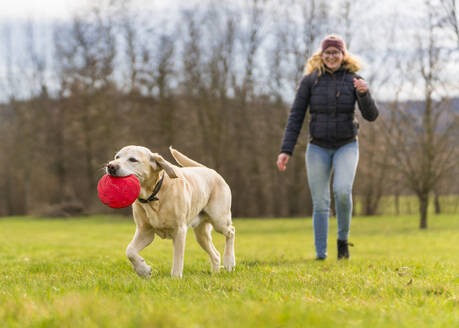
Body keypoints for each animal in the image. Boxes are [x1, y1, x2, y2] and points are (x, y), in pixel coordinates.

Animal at [106, 145, 235, 276]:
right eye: (117, 157)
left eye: (132, 159)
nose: (110, 166)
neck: (153, 197)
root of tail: (210, 170)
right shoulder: (145, 231)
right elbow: (130, 251)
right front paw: (143, 270)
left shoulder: (179, 231)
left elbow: (178, 259)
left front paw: (176, 277)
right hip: (201, 234)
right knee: (216, 255)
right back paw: (215, 273)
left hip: (219, 219)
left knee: (231, 231)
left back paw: (229, 261)